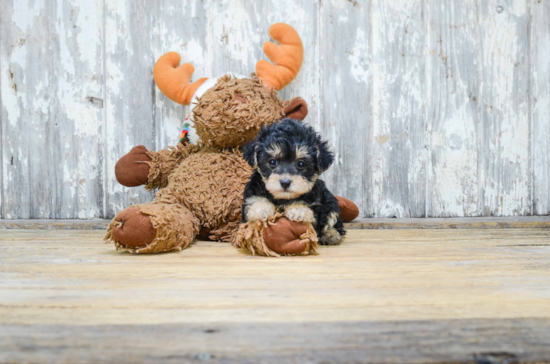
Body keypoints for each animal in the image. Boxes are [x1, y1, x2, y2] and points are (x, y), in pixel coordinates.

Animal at [242, 118, 344, 246]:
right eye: (272, 162)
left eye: (300, 163)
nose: (285, 182)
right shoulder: (252, 191)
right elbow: (255, 199)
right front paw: (261, 209)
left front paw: (298, 210)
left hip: (329, 200)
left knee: (333, 218)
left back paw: (331, 235)